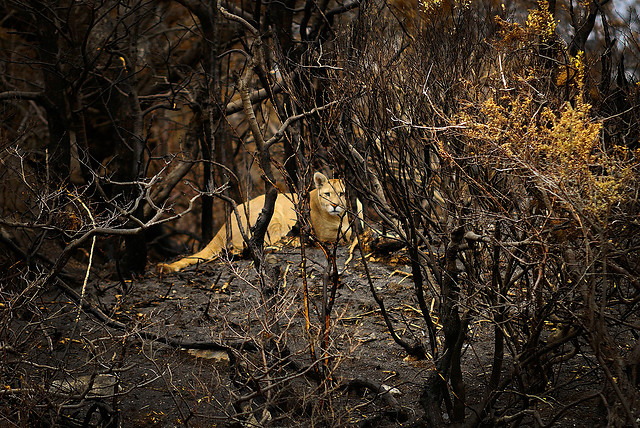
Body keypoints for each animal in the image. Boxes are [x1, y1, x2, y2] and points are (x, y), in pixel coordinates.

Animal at [158, 172, 358, 272]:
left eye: (342, 194)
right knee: (261, 243)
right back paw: (292, 241)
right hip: (273, 213)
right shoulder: (323, 233)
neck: (340, 216)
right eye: (327, 194)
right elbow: (345, 234)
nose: (335, 205)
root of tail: (222, 228)